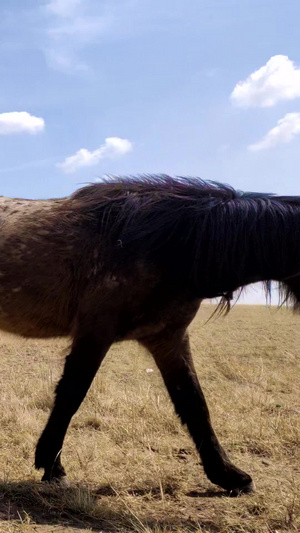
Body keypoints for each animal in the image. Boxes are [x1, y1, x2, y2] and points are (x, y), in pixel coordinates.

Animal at [0, 176, 298, 494]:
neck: (168, 244)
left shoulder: (168, 338)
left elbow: (193, 402)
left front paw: (226, 474)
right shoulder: (95, 331)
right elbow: (71, 394)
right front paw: (52, 466)